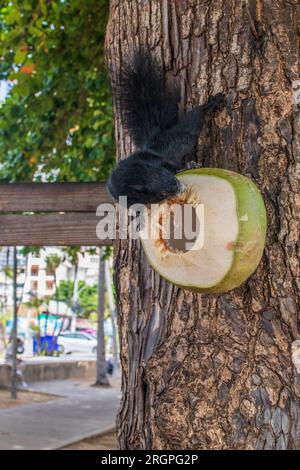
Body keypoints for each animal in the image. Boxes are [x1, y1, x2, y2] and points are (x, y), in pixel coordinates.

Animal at [106, 50, 224, 207]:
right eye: (161, 194)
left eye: (166, 174)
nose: (181, 187)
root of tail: (151, 143)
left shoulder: (158, 161)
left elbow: (172, 165)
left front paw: (188, 166)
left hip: (173, 142)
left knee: (187, 132)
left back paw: (209, 105)